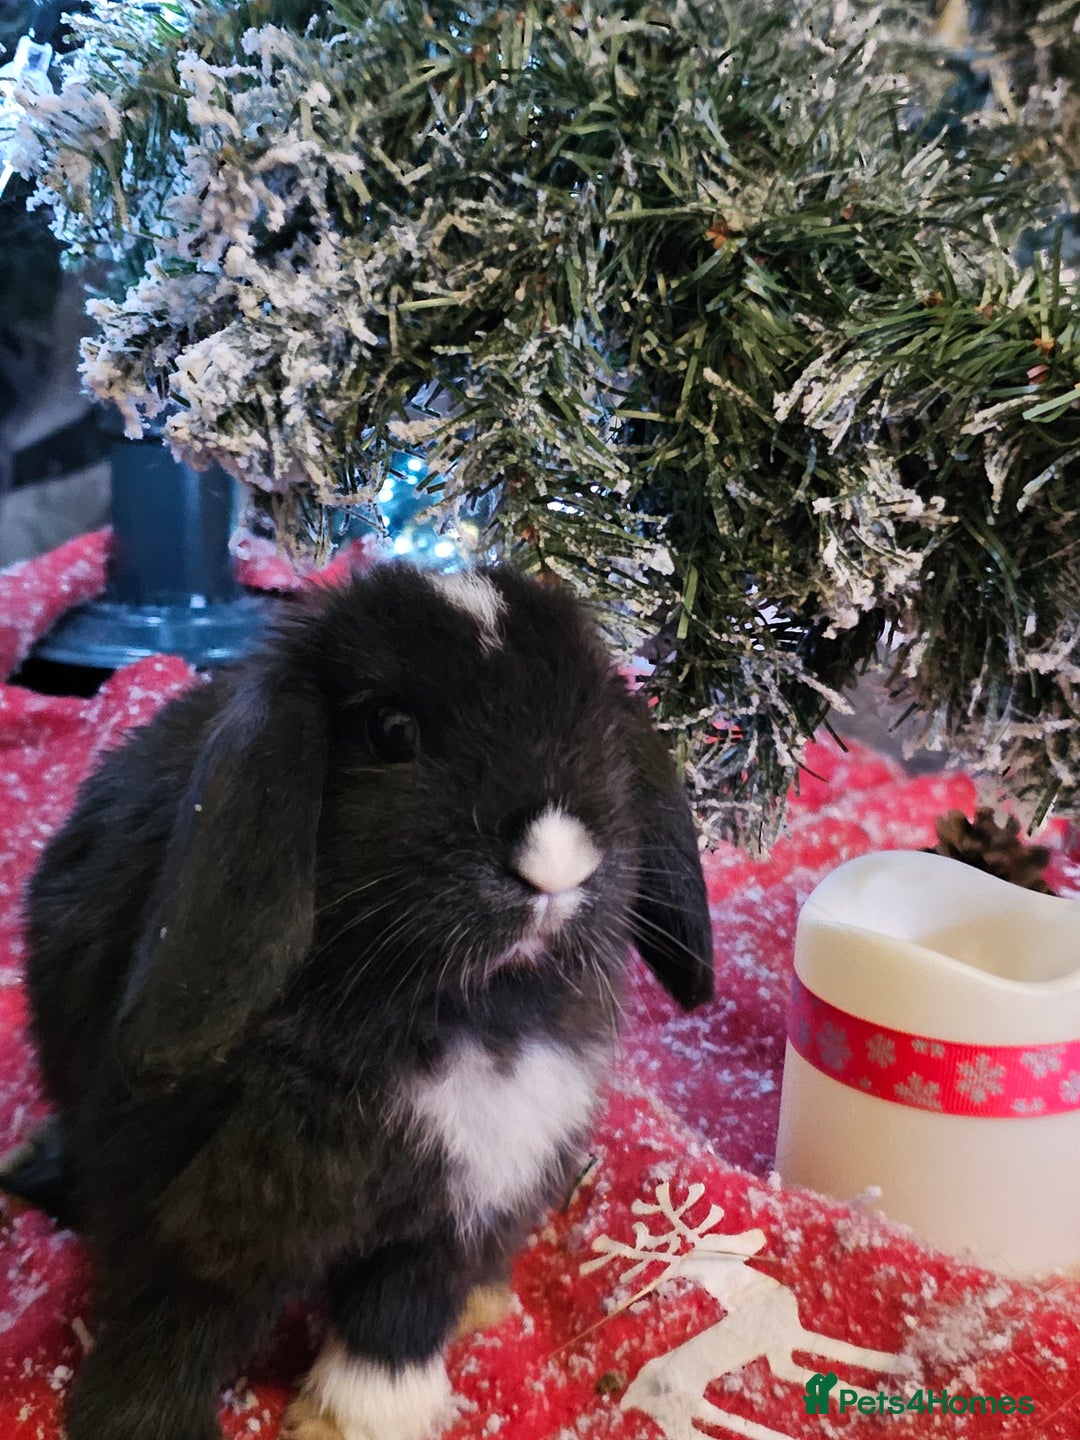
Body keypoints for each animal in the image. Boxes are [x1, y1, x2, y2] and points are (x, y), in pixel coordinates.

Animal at [3, 560, 713, 1440]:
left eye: (602, 726)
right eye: (392, 732)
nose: (555, 864)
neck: (458, 1016)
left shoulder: (460, 1204)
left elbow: (396, 1317)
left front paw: (356, 1418)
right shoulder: (188, 1215)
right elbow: (170, 1328)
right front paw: (137, 1425)